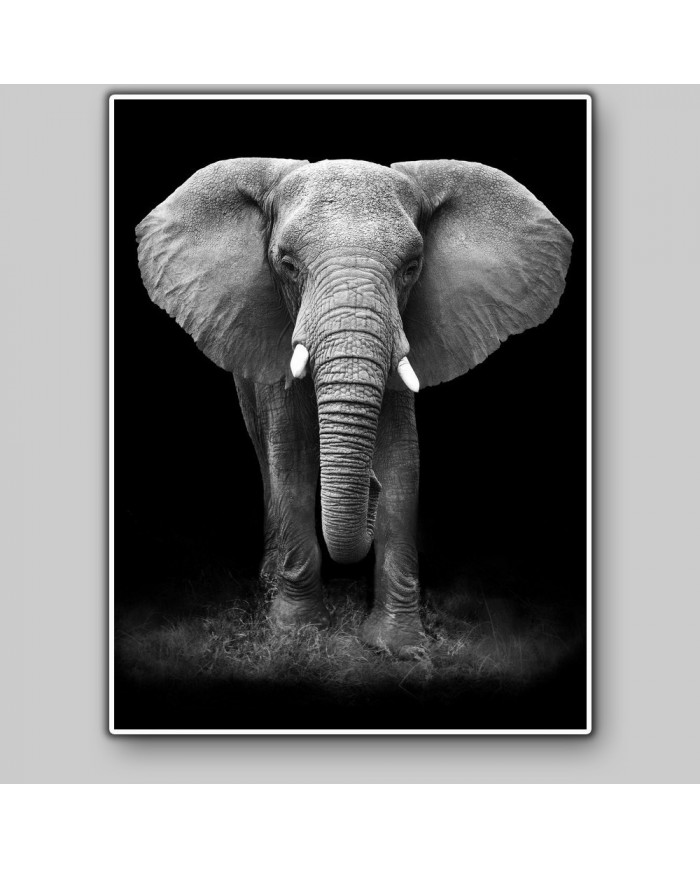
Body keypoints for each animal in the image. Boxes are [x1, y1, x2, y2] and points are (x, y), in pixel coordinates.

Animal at [136, 157, 572, 656]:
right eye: (287, 265)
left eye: (411, 267)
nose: (370, 487)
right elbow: (291, 457)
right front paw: (297, 633)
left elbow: (403, 461)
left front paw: (399, 645)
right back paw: (269, 583)